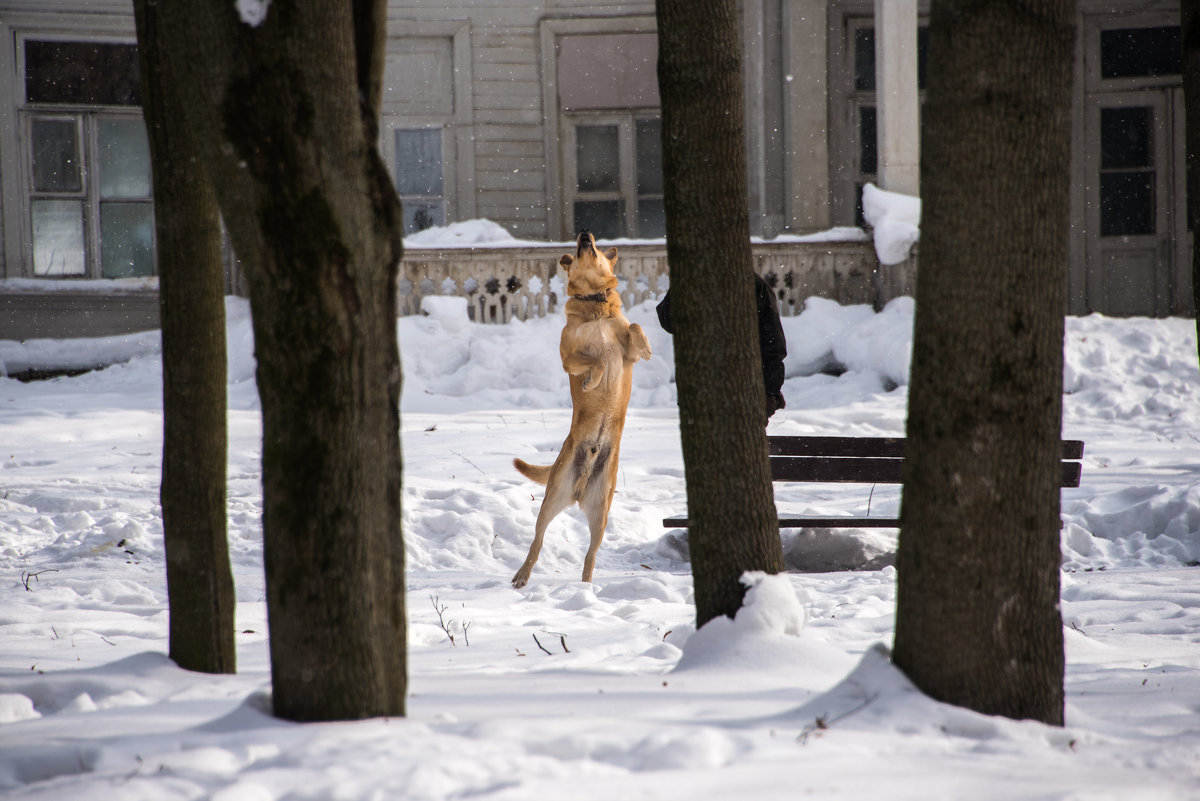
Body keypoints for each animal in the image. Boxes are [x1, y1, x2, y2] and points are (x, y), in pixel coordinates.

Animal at [511, 231, 652, 587]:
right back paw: (522, 575)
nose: (585, 235)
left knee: (590, 555)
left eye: (597, 246)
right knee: (537, 541)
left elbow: (634, 327)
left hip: (601, 513)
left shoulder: (626, 353)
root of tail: (579, 489)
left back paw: (587, 588)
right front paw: (591, 382)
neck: (594, 304)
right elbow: (597, 357)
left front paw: (646, 347)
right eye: (578, 250)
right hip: (552, 498)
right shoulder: (568, 358)